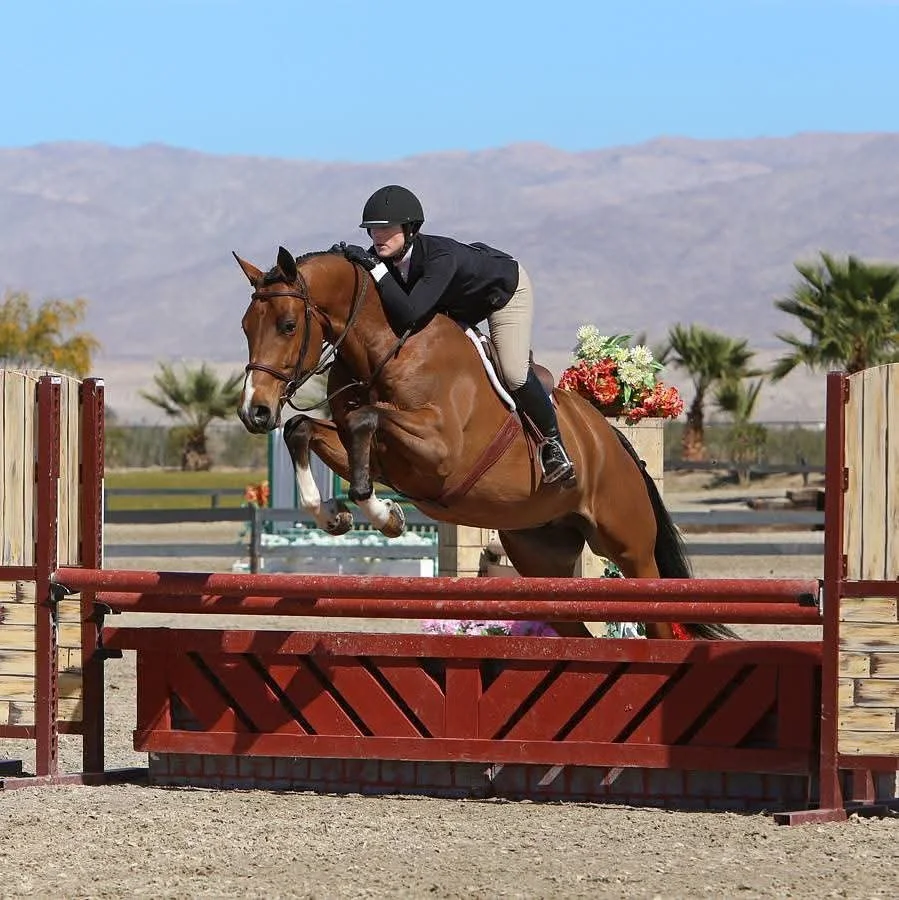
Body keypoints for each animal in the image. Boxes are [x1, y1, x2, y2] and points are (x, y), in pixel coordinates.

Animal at [234, 245, 735, 641]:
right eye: (245, 327)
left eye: (287, 325)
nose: (253, 412)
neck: (382, 347)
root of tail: (611, 438)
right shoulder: (382, 453)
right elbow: (304, 430)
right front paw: (334, 515)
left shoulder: (440, 452)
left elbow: (363, 419)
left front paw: (385, 515)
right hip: (540, 555)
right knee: (577, 625)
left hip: (629, 546)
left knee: (656, 614)